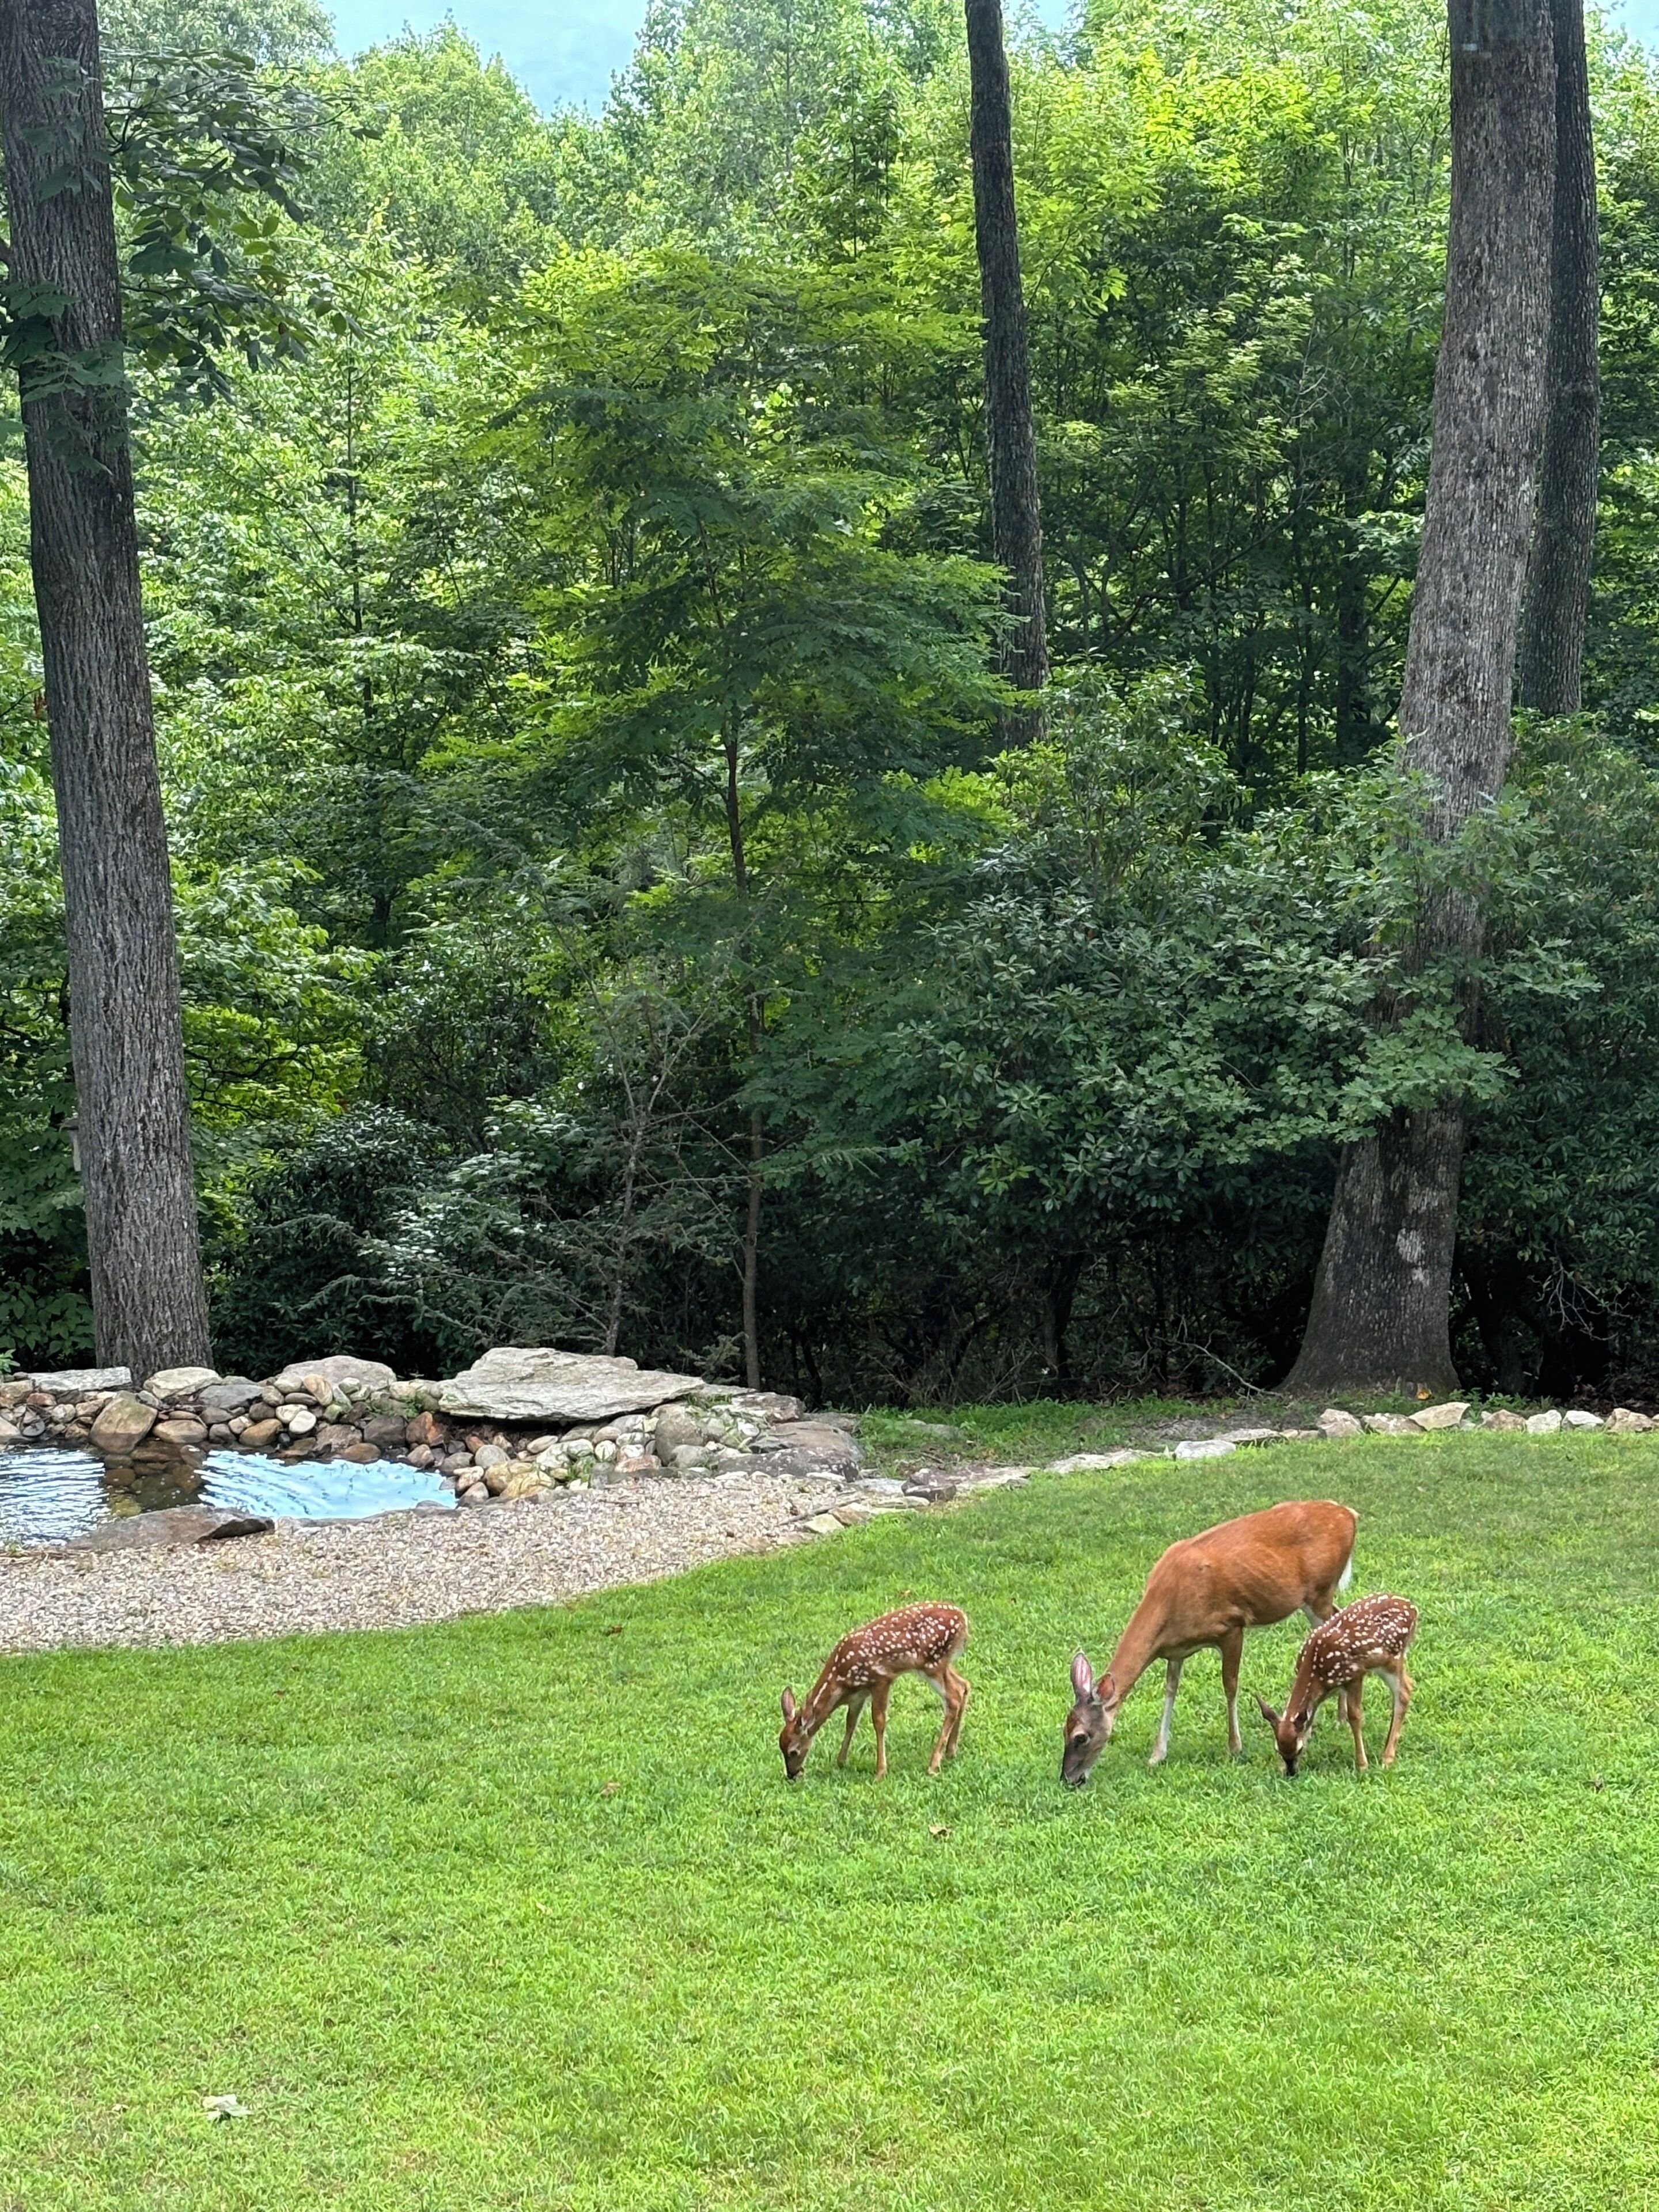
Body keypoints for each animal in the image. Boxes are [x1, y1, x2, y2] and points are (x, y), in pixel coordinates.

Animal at [779, 1603, 969, 1780]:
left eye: (793, 1751)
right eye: (780, 1747)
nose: (792, 1774)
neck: (840, 1680)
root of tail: (963, 1618)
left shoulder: (881, 1680)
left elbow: (879, 1721)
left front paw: (880, 1772)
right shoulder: (859, 1695)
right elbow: (851, 1723)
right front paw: (841, 1762)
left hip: (932, 1663)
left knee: (954, 1698)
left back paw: (933, 1765)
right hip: (941, 1663)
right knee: (964, 1685)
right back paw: (951, 1751)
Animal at [1061, 1498, 1357, 1785]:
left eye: (1081, 1737)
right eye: (1064, 1728)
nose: (1068, 1778)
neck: (1171, 1600)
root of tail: (1349, 1514)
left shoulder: (1231, 1626)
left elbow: (1230, 1685)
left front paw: (1235, 1747)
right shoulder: (1176, 1651)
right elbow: (1170, 1690)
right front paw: (1157, 1754)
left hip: (1320, 1591)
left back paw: (1337, 1718)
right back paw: (1340, 1715)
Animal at [1256, 1591, 1417, 1776]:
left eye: (1299, 1749)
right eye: (1278, 1750)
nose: (1291, 1772)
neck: (1317, 1672)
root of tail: (1413, 1609)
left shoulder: (1355, 1675)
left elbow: (1354, 1716)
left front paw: (1362, 1765)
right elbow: (1310, 1719)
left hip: (1392, 1658)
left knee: (1404, 1691)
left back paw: (1387, 1758)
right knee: (1407, 1686)